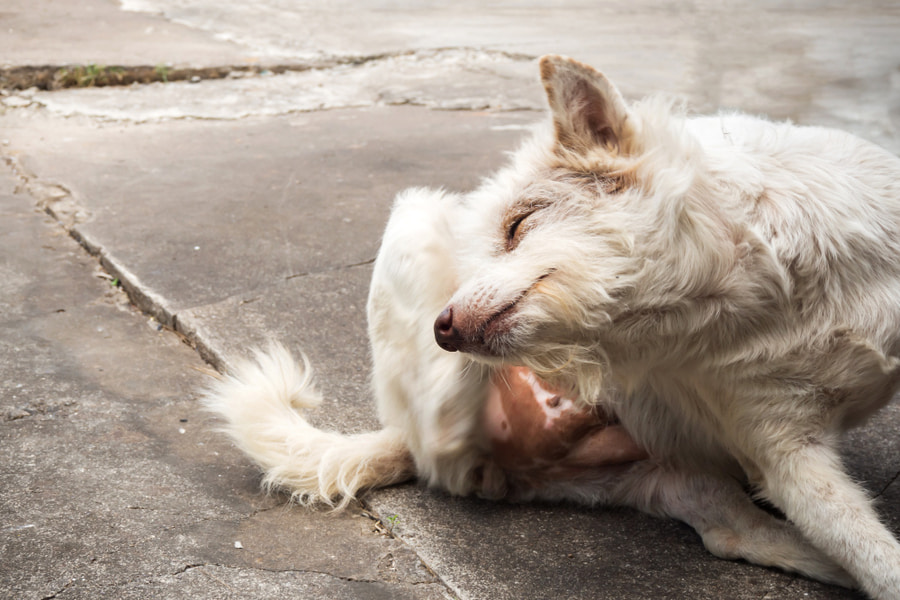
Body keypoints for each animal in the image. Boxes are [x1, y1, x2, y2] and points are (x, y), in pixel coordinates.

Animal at [206, 55, 900, 596]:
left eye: (518, 226)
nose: (443, 328)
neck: (765, 297)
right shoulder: (788, 456)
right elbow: (877, 559)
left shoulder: (793, 461)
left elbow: (877, 561)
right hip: (418, 216)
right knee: (440, 424)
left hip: (681, 482)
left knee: (743, 535)